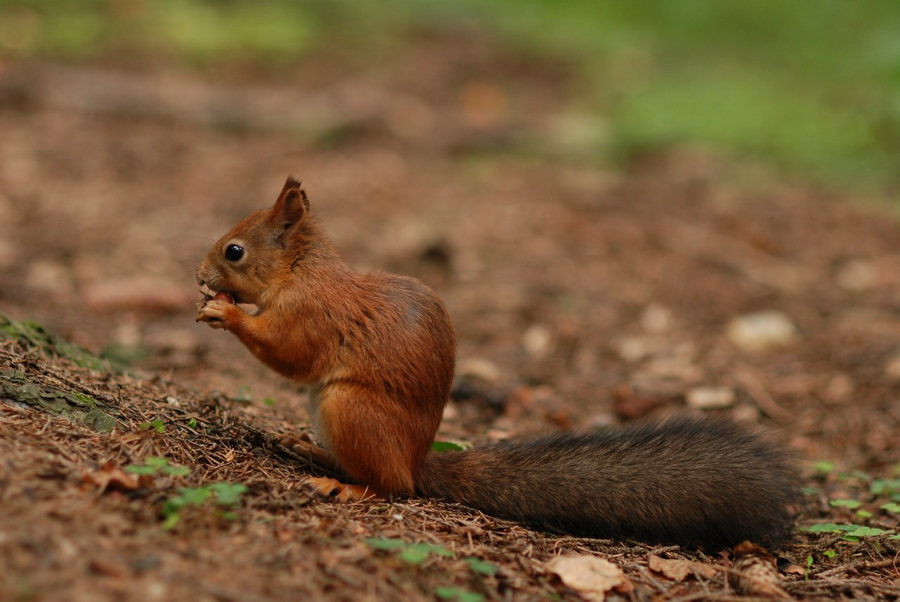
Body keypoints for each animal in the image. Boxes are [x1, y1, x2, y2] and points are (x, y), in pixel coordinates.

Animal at [199, 177, 800, 548]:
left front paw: (226, 313)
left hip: (350, 408)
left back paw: (347, 486)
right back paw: (308, 450)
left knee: (393, 486)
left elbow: (289, 353)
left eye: (235, 251)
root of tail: (418, 458)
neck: (301, 273)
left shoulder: (313, 317)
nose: (200, 276)